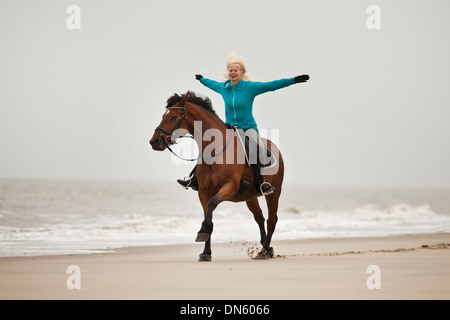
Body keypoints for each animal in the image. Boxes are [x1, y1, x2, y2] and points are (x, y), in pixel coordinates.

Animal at [150, 91, 284, 262]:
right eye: (163, 116)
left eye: (173, 117)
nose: (154, 141)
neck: (215, 149)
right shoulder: (203, 192)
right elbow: (209, 217)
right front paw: (206, 252)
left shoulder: (230, 187)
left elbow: (212, 204)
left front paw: (202, 232)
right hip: (250, 196)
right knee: (259, 218)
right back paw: (266, 248)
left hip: (274, 194)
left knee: (271, 220)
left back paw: (265, 250)